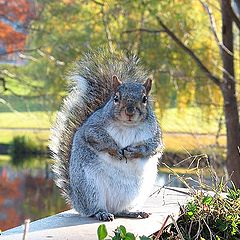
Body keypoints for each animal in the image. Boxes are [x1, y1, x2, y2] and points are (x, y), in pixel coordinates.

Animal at [49, 48, 164, 221]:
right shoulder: (92, 127)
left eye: (145, 99)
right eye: (116, 98)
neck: (127, 126)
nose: (130, 111)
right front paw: (115, 149)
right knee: (94, 209)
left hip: (137, 193)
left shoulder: (155, 135)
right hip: (90, 187)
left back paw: (133, 212)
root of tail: (77, 201)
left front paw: (133, 151)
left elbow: (153, 147)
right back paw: (101, 213)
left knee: (121, 210)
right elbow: (95, 137)